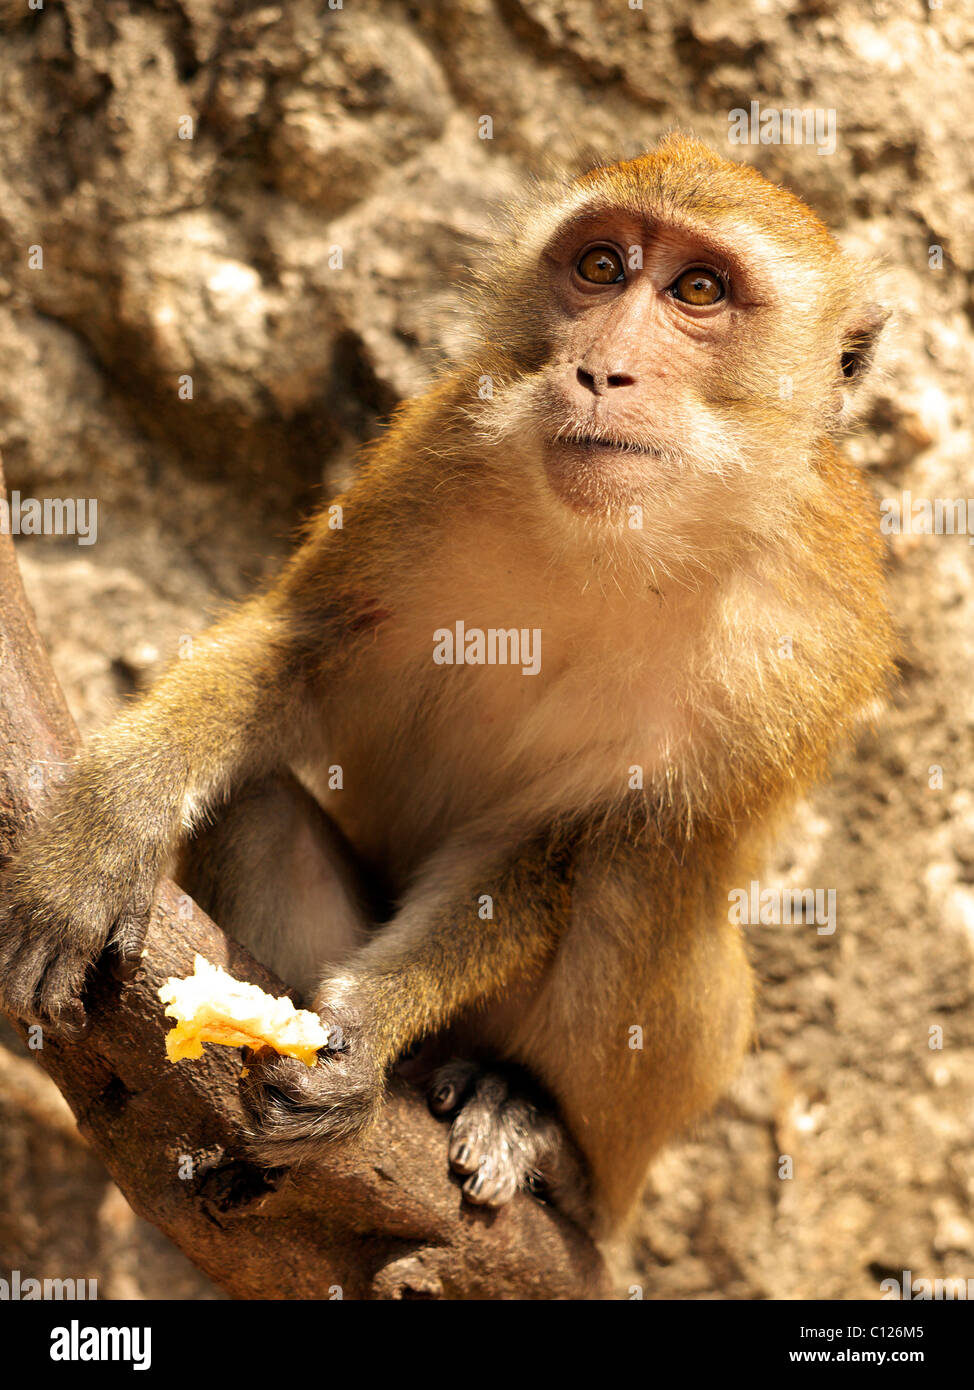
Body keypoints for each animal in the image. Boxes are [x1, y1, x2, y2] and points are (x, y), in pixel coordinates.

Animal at [0, 132, 894, 1239]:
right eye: (599, 266)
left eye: (698, 289)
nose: (600, 369)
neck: (625, 539)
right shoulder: (437, 453)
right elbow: (302, 643)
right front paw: (99, 842)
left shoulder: (810, 640)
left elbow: (571, 842)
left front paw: (369, 1025)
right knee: (254, 807)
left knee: (641, 876)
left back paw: (531, 1117)